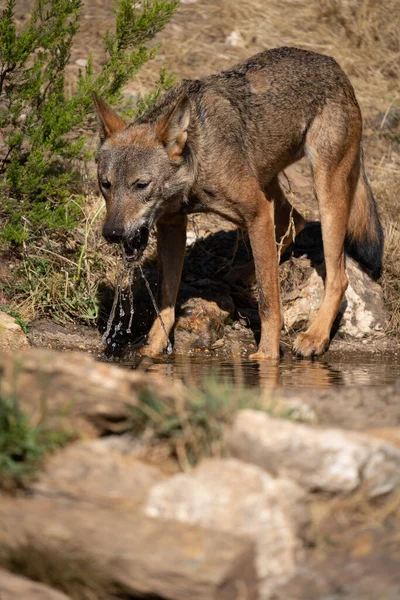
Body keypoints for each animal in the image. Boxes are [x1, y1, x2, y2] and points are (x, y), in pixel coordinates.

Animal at [92, 48, 382, 356]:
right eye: (106, 185)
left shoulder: (255, 212)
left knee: (338, 277)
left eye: (141, 185)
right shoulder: (172, 226)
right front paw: (152, 349)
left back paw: (314, 336)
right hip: (268, 188)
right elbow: (166, 302)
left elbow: (268, 304)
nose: (112, 233)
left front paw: (267, 356)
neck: (198, 159)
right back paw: (246, 273)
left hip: (324, 194)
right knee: (295, 223)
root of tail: (333, 64)